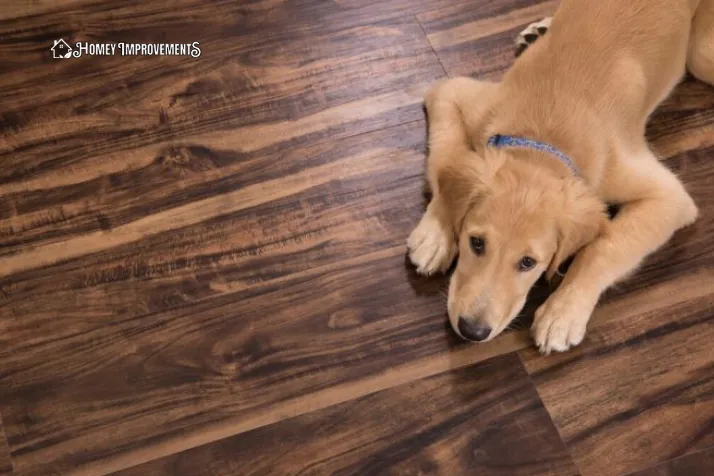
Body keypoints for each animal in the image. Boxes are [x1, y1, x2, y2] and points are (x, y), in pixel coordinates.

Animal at [406, 0, 712, 354]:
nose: (472, 330)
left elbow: (604, 246)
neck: (543, 141)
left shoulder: (667, 197)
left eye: (528, 263)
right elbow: (447, 155)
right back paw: (541, 28)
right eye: (476, 243)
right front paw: (436, 235)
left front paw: (563, 312)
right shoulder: (453, 93)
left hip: (701, 55)